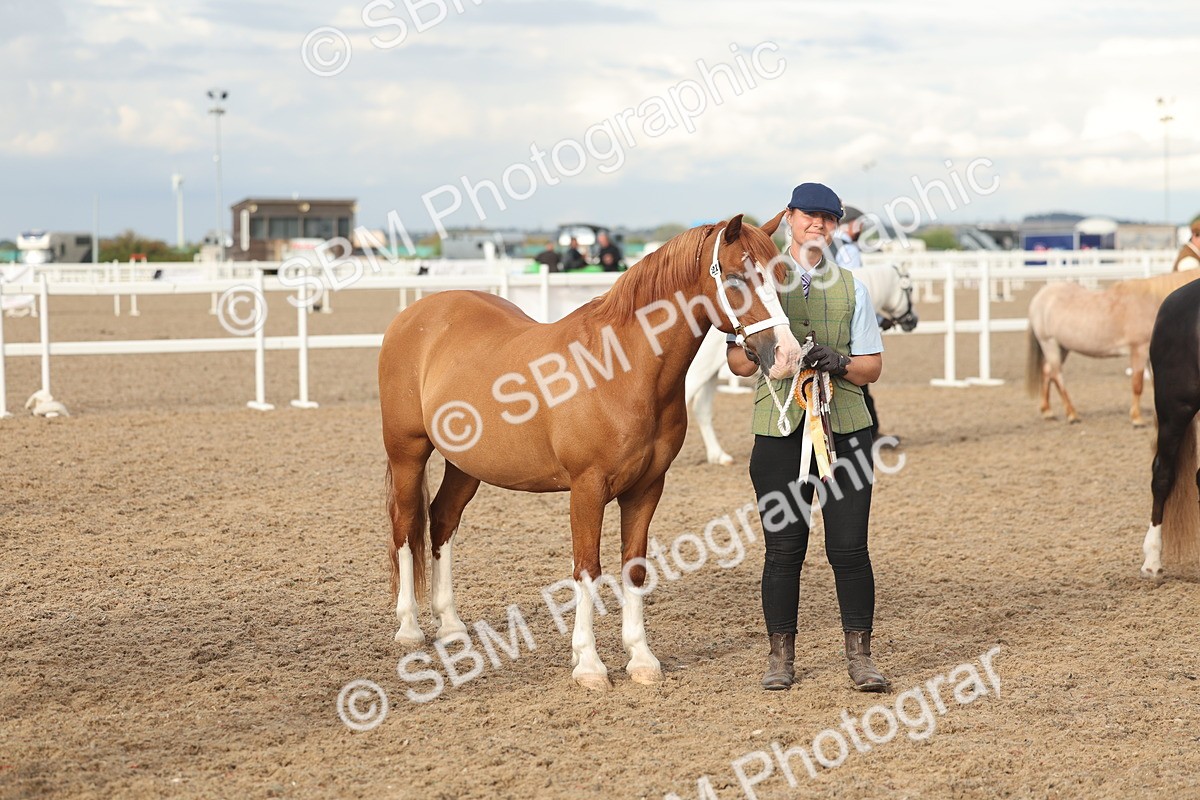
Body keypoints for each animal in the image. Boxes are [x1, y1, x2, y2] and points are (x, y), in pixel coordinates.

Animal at [378, 213, 803, 691]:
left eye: (781, 276)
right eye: (734, 277)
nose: (787, 356)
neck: (620, 369)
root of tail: (414, 315)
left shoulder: (647, 488)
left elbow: (634, 568)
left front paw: (641, 659)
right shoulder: (587, 488)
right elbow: (587, 569)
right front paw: (589, 664)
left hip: (465, 464)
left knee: (443, 520)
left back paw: (450, 626)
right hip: (407, 452)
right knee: (406, 523)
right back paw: (409, 627)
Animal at [685, 262, 918, 465]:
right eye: (909, 289)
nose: (913, 321)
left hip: (711, 374)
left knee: (701, 408)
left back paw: (719, 456)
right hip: (700, 370)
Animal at [1026, 269, 1200, 426]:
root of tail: (1040, 296)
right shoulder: (1139, 349)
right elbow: (1137, 384)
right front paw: (1137, 418)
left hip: (1062, 348)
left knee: (1047, 372)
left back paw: (1048, 411)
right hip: (1049, 344)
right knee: (1057, 376)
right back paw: (1072, 414)